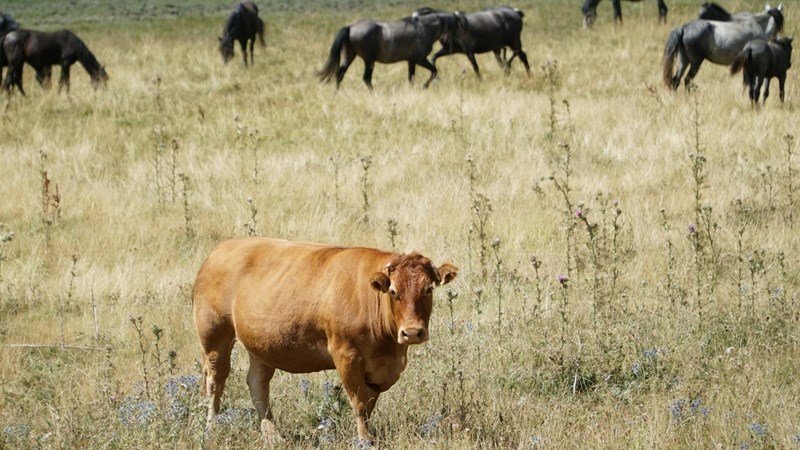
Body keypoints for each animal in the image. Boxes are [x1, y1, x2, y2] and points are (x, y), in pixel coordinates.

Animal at [191, 237, 460, 442]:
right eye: (393, 292)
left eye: (428, 289)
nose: (412, 332)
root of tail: (221, 249)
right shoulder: (346, 355)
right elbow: (360, 403)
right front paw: (364, 440)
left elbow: (369, 403)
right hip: (214, 336)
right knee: (215, 382)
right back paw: (211, 428)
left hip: (260, 344)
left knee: (258, 383)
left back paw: (273, 436)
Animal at [318, 8, 456, 90]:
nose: (448, 49)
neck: (423, 28)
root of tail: (350, 28)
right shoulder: (420, 59)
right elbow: (434, 70)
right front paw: (424, 86)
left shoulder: (411, 60)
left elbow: (411, 77)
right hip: (369, 60)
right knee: (366, 78)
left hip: (349, 56)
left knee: (340, 73)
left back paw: (336, 93)